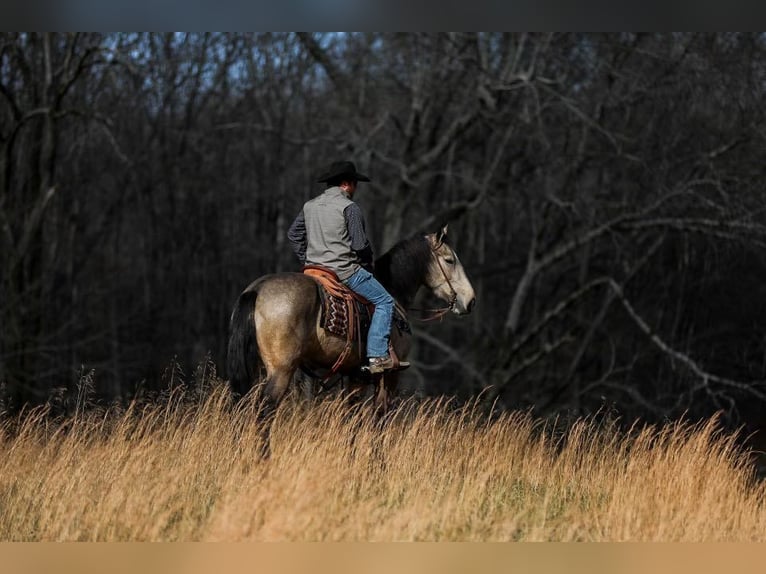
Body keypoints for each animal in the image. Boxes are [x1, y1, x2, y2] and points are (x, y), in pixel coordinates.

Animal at [225, 224, 476, 418]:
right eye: (449, 260)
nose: (470, 301)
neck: (392, 292)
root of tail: (257, 290)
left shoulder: (355, 377)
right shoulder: (389, 376)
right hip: (281, 370)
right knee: (264, 411)